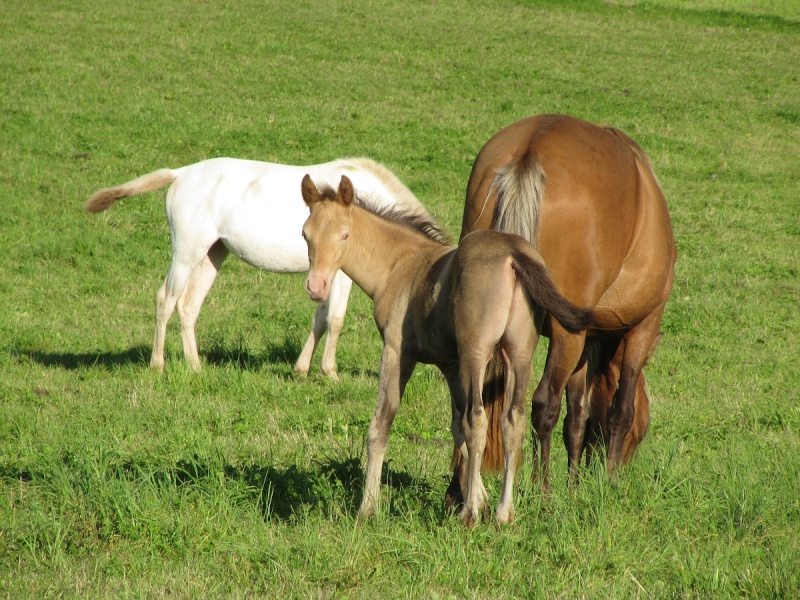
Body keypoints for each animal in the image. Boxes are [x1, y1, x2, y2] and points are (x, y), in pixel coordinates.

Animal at [450, 113, 676, 502]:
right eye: (643, 427)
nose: (625, 464)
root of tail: (532, 148)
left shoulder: (585, 345)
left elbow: (578, 417)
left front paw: (574, 486)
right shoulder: (640, 329)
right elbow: (619, 406)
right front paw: (608, 482)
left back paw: (459, 491)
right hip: (566, 334)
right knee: (543, 404)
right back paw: (542, 492)